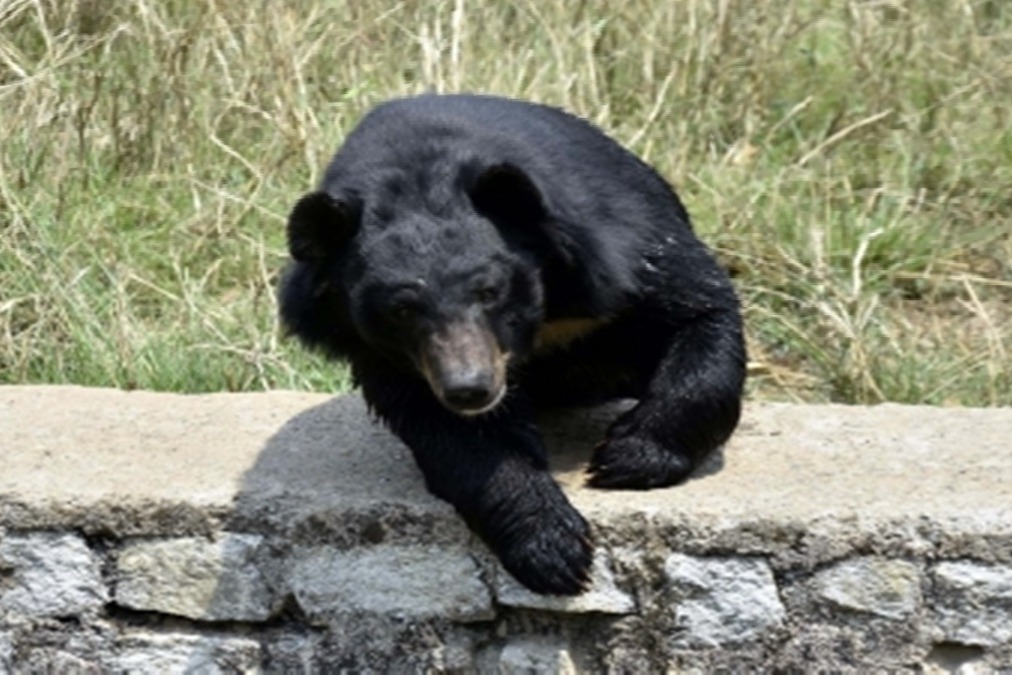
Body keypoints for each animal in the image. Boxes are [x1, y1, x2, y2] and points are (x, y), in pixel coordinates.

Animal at [279, 94, 746, 596]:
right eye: (401, 310)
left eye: (489, 290)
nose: (470, 388)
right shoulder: (392, 358)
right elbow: (458, 436)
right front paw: (555, 550)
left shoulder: (620, 249)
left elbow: (700, 312)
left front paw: (627, 459)